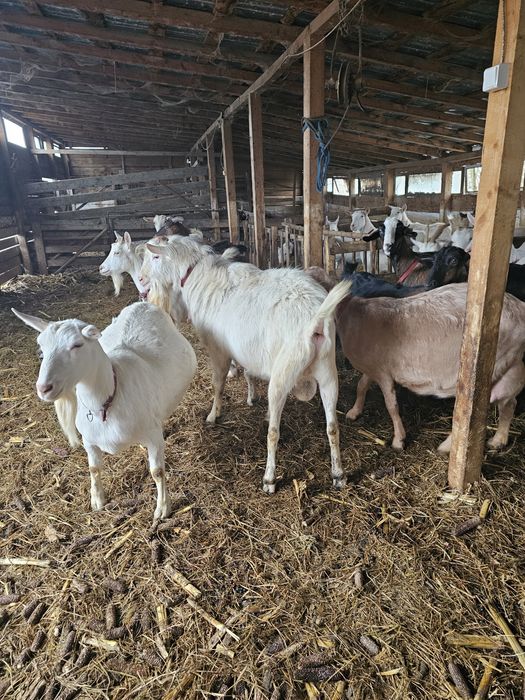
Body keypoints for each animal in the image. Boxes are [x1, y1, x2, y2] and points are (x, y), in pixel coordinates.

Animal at [12, 302, 197, 521]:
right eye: (41, 348)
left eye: (77, 345)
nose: (44, 388)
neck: (109, 398)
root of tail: (142, 304)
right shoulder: (88, 440)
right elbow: (94, 468)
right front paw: (97, 500)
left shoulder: (152, 436)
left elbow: (157, 471)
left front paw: (162, 508)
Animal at [140, 236, 352, 493]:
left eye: (155, 256)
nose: (141, 279)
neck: (199, 277)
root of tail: (315, 319)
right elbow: (249, 373)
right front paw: (252, 399)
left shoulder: (218, 350)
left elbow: (218, 383)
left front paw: (213, 414)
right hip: (328, 371)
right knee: (332, 426)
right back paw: (338, 474)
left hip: (283, 374)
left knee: (274, 432)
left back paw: (269, 478)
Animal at [335, 284, 525, 452]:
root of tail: (519, 306)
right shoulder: (374, 368)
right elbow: (361, 386)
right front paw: (354, 412)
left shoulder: (383, 373)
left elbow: (391, 405)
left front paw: (398, 440)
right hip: (510, 366)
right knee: (509, 403)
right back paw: (498, 440)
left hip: (492, 366)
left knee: (478, 408)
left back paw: (448, 446)